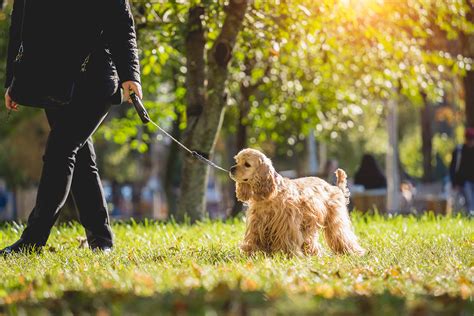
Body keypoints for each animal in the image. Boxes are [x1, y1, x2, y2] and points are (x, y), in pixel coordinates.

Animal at [231, 149, 364, 256]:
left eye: (247, 164)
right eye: (237, 161)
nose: (232, 169)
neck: (270, 195)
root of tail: (334, 187)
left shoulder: (286, 223)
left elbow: (286, 240)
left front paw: (285, 254)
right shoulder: (257, 222)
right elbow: (254, 239)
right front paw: (251, 253)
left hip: (335, 220)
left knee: (342, 235)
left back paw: (352, 251)